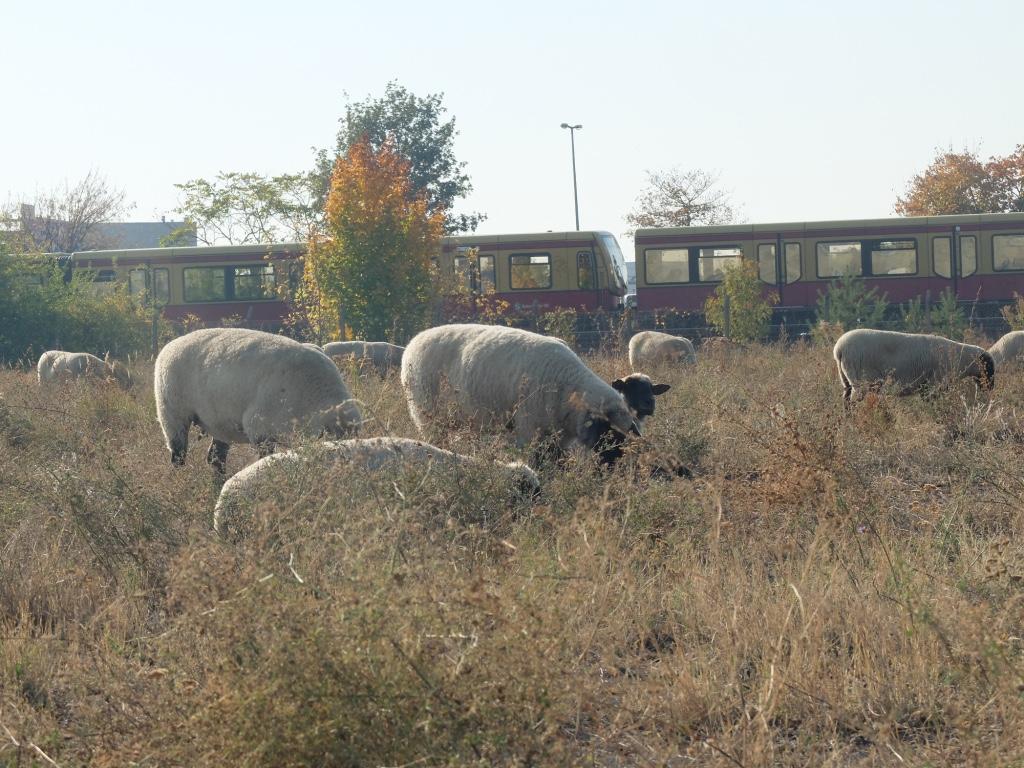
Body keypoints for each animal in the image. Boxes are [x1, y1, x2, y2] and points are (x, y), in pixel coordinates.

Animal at [151, 325, 360, 475]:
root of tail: (171, 344)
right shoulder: (260, 429)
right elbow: (264, 460)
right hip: (172, 413)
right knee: (178, 455)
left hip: (219, 422)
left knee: (216, 458)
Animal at [399, 323, 638, 466]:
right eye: (607, 431)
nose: (614, 466)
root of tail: (413, 341)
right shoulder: (528, 427)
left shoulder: (557, 435)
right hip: (426, 415)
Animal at [831, 329, 991, 405]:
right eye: (988, 367)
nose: (989, 389)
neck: (961, 358)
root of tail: (839, 349)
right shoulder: (934, 383)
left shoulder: (926, 386)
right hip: (861, 381)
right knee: (852, 402)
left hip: (846, 379)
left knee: (845, 399)